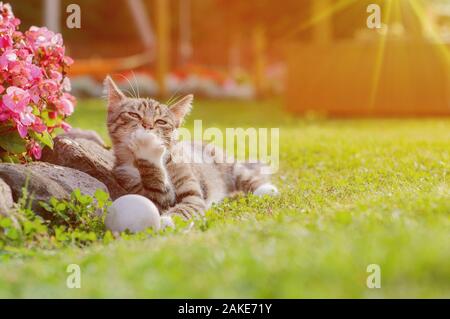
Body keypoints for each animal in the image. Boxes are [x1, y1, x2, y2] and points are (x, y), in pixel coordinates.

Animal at [104, 76, 278, 226]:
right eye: (133, 114)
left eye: (161, 122)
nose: (147, 126)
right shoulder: (131, 180)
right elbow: (158, 195)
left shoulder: (191, 190)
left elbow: (188, 204)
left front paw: (168, 220)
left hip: (225, 162)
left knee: (245, 175)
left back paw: (266, 189)